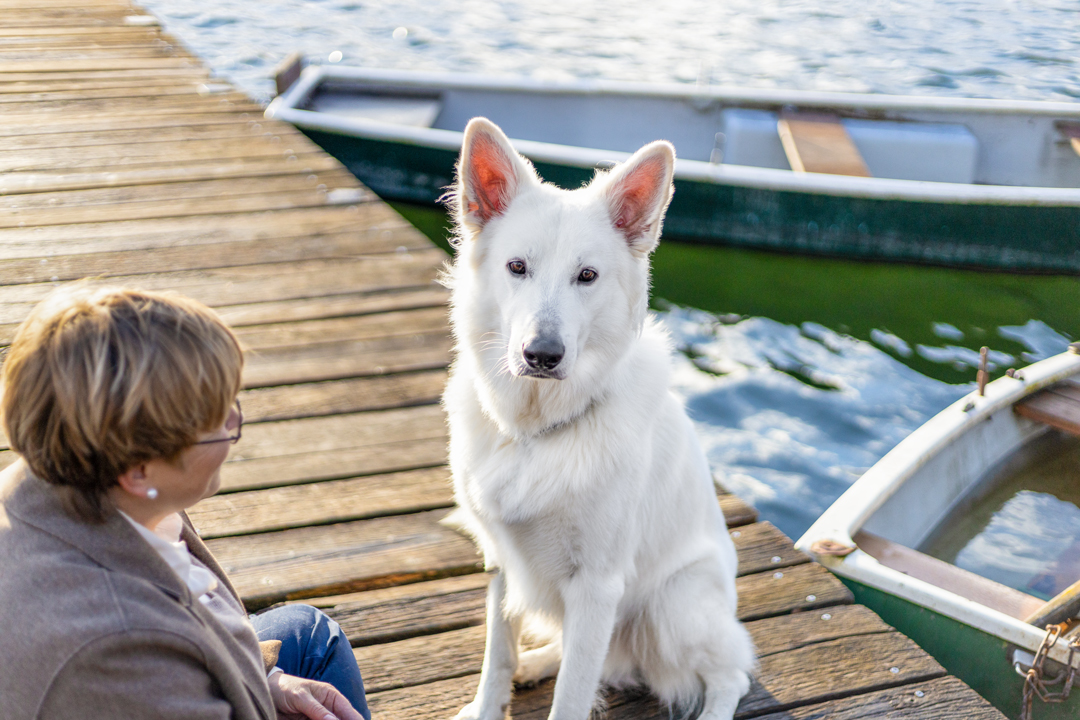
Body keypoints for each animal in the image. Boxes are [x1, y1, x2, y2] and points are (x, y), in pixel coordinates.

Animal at [442, 119, 756, 720]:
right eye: (517, 267)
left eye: (586, 276)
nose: (542, 355)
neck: (535, 433)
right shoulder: (501, 561)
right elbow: (498, 655)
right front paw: (493, 700)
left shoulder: (597, 585)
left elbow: (572, 694)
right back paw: (538, 661)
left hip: (675, 607)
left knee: (731, 675)